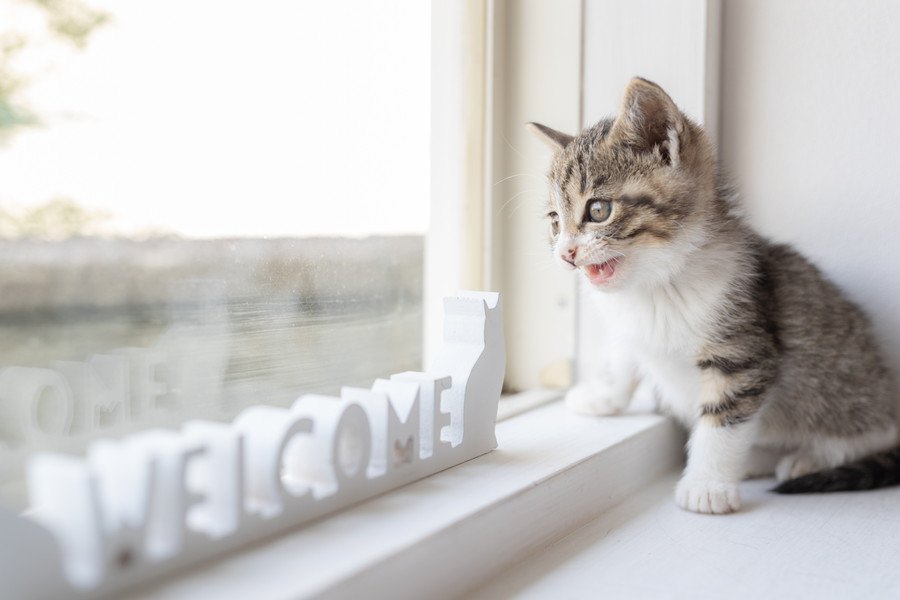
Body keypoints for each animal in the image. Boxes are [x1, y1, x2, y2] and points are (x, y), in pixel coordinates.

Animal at [528, 76, 900, 516]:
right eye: (555, 221)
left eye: (598, 210)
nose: (565, 252)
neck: (657, 285)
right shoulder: (630, 323)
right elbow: (622, 354)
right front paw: (604, 396)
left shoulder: (742, 349)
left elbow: (723, 419)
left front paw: (707, 485)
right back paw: (760, 458)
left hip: (845, 391)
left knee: (871, 431)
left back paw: (809, 458)